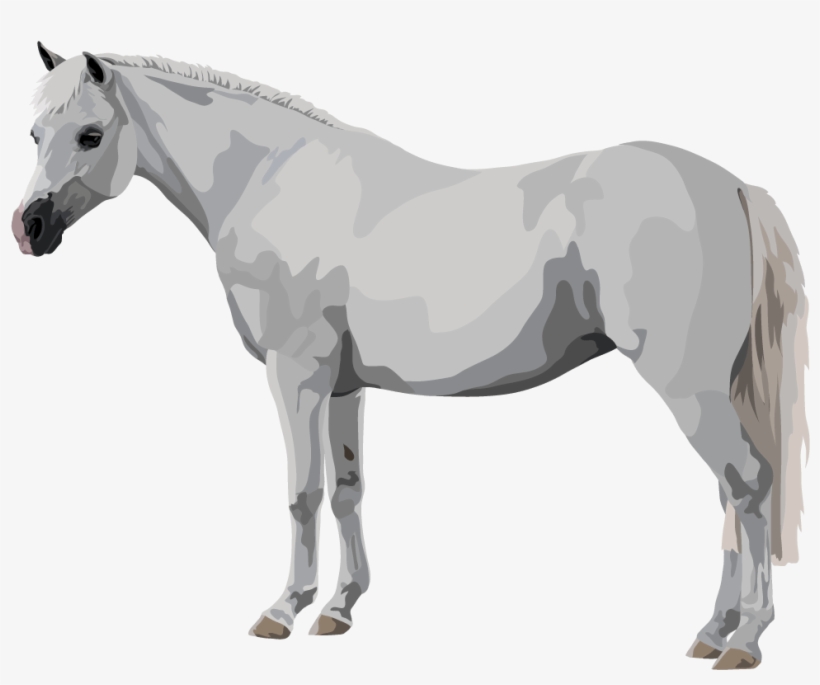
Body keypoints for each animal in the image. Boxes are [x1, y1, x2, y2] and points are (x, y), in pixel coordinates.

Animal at [12, 43, 808, 670]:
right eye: (33, 131)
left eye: (90, 133)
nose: (30, 227)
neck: (271, 182)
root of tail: (732, 185)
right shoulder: (342, 386)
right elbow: (347, 488)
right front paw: (339, 608)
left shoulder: (295, 374)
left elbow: (301, 492)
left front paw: (283, 610)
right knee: (729, 495)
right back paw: (712, 632)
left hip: (687, 387)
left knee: (746, 484)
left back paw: (745, 641)